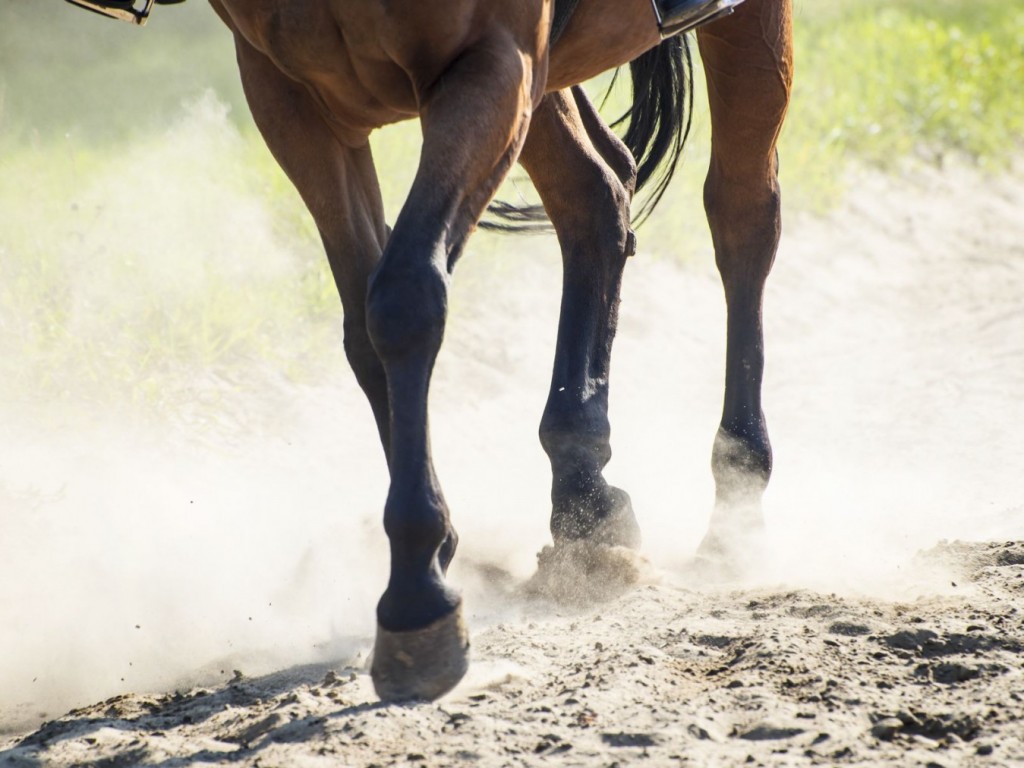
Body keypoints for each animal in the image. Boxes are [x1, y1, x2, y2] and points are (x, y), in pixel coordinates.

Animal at [207, 0, 794, 704]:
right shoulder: (291, 99)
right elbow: (364, 328)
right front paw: (437, 553)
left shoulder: (494, 61)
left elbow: (405, 296)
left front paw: (417, 593)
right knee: (597, 195)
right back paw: (583, 492)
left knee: (742, 213)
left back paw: (737, 492)